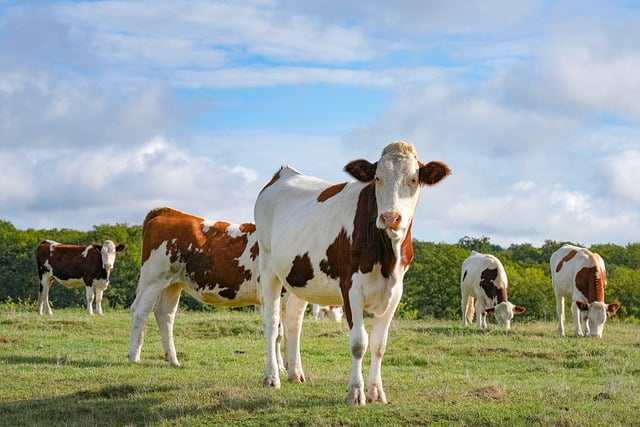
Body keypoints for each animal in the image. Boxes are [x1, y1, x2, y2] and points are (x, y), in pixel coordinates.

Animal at [126, 206, 282, 370]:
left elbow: (281, 332)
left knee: (164, 315)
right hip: (153, 279)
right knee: (140, 311)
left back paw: (173, 360)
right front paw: (279, 367)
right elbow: (277, 331)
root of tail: (167, 211)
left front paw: (282, 367)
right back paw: (134, 357)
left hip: (173, 284)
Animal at [252, 142, 448, 406]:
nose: (390, 217)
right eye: (377, 178)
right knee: (272, 324)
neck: (388, 255)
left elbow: (379, 344)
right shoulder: (351, 288)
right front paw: (356, 392)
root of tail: (283, 173)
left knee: (293, 322)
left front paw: (377, 392)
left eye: (414, 179)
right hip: (268, 268)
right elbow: (359, 343)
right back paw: (272, 377)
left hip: (299, 275)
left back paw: (295, 373)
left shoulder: (396, 291)